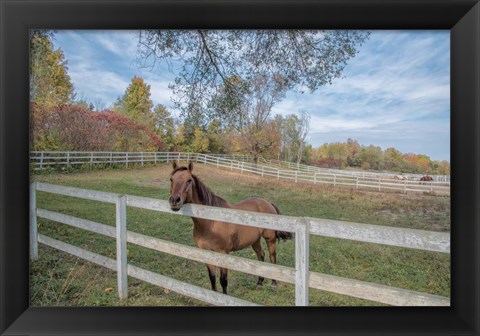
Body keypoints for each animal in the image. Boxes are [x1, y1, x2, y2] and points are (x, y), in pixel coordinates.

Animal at [168, 161, 292, 296]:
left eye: (189, 180)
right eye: (171, 179)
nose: (174, 200)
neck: (210, 223)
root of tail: (268, 203)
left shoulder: (223, 254)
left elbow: (223, 280)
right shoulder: (207, 253)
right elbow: (212, 278)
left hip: (270, 238)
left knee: (272, 256)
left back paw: (274, 283)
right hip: (255, 240)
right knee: (261, 255)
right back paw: (259, 282)